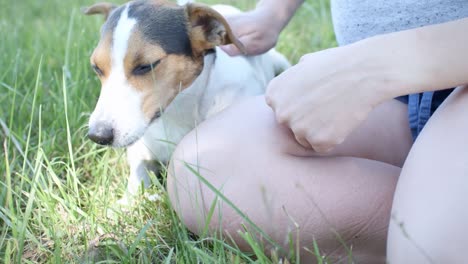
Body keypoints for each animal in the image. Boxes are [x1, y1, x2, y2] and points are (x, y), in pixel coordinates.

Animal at [83, 0, 288, 203]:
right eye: (96, 67)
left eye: (145, 66)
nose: (97, 135)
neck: (179, 111)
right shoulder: (142, 150)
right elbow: (137, 175)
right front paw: (126, 202)